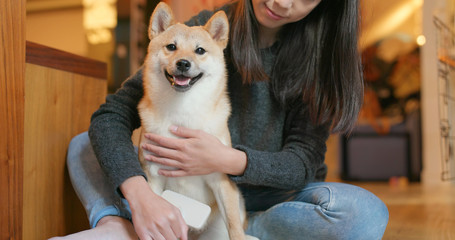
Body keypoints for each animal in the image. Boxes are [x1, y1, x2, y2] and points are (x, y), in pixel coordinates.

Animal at [138, 2, 256, 240]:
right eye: (171, 46)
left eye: (199, 50)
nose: (183, 63)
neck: (183, 112)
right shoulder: (153, 177)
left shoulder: (221, 181)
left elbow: (234, 226)